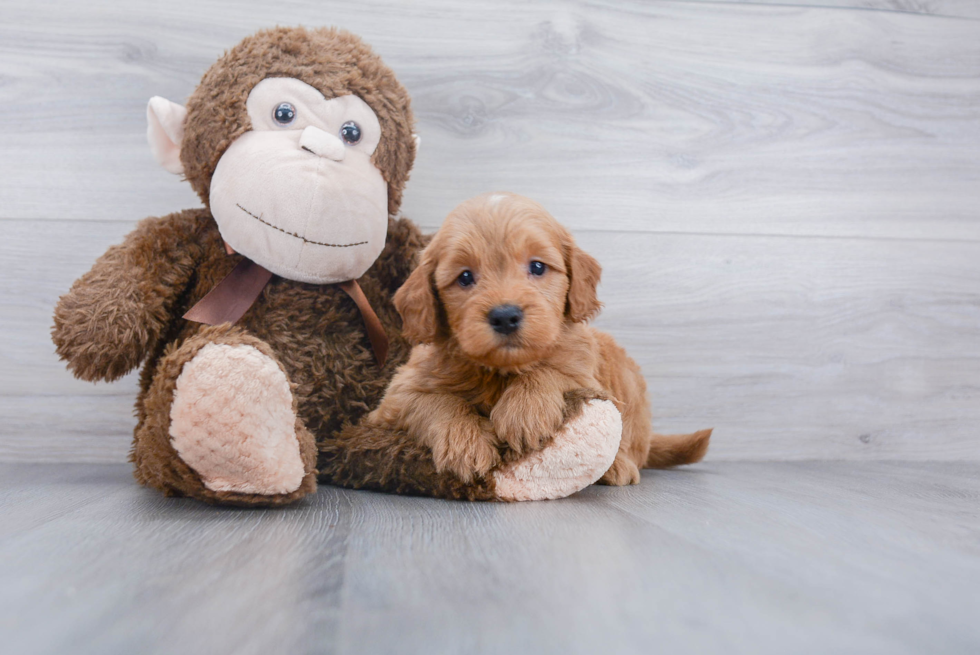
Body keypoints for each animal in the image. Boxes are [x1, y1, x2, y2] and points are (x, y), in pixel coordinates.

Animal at [368, 192, 712, 484]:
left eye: (537, 266)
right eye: (464, 277)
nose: (505, 316)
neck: (501, 372)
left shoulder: (584, 372)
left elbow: (551, 369)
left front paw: (524, 411)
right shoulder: (397, 395)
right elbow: (437, 402)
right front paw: (464, 443)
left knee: (632, 442)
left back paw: (618, 465)